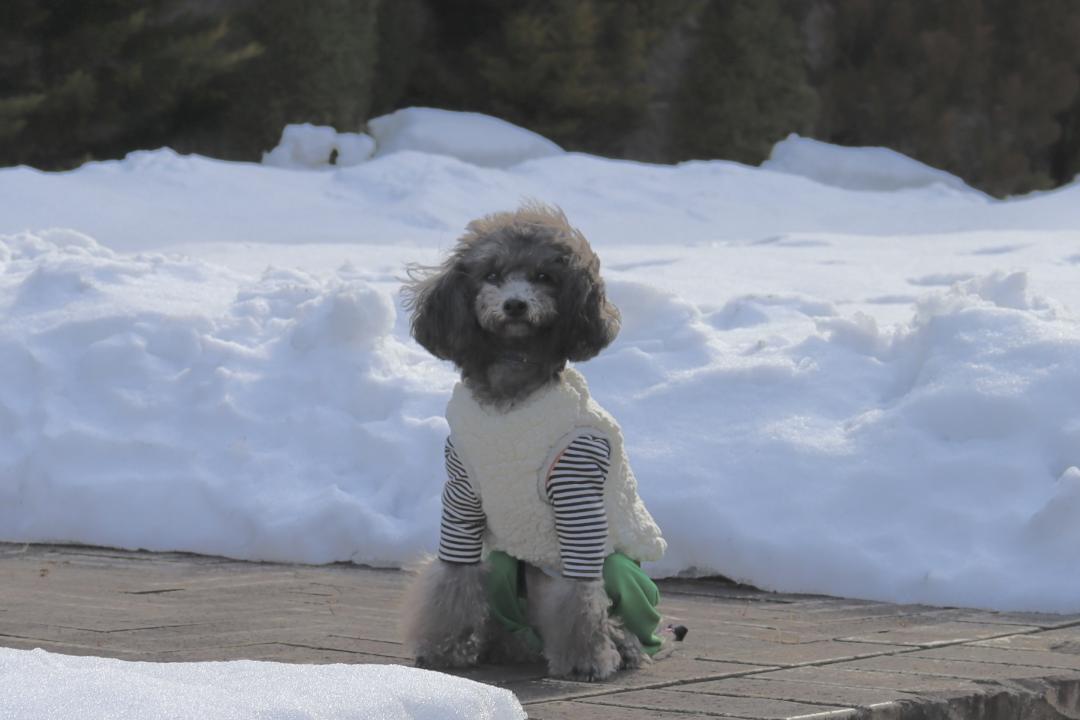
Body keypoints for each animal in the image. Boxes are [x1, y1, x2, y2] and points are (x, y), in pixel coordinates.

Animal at [399, 201, 665, 682]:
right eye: (490, 274)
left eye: (545, 276)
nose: (515, 305)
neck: (512, 394)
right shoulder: (462, 491)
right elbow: (453, 576)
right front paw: (443, 648)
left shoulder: (577, 490)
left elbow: (581, 593)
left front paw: (586, 659)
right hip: (504, 568)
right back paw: (502, 645)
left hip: (624, 575)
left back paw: (622, 646)